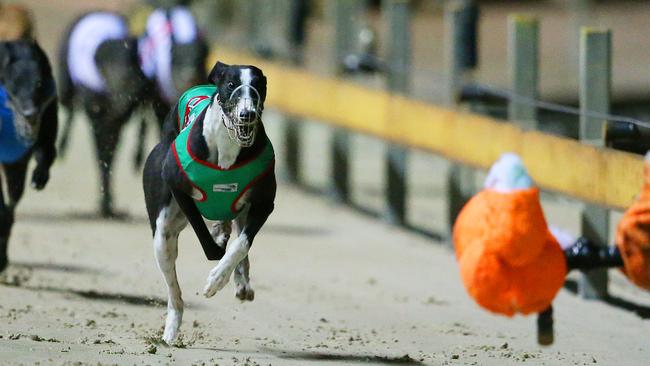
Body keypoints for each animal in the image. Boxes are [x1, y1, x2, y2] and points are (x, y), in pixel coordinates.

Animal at [142, 61, 274, 344]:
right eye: (231, 84)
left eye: (258, 85)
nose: (247, 114)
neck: (228, 147)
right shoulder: (178, 187)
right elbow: (209, 245)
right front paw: (217, 254)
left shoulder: (264, 204)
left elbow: (241, 245)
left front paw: (218, 278)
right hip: (163, 237)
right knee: (174, 292)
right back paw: (171, 330)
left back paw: (241, 280)